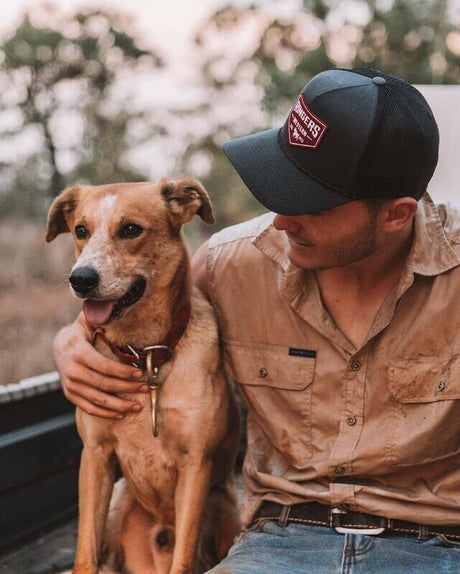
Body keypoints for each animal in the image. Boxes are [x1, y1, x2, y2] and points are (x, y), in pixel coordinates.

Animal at [45, 178, 241, 572]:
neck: (145, 354)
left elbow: (183, 557)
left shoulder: (196, 465)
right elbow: (84, 553)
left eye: (131, 230)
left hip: (224, 507)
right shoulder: (96, 457)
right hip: (119, 499)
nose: (80, 279)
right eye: (81, 231)